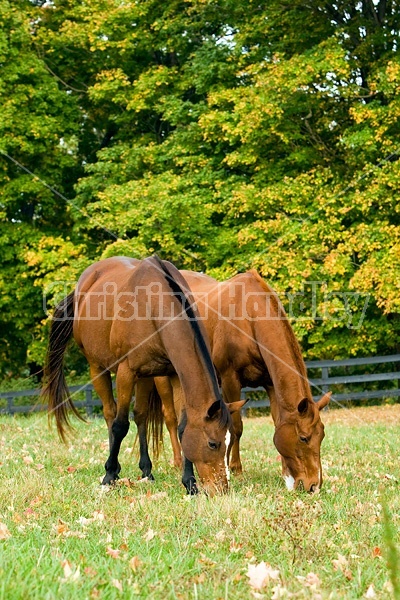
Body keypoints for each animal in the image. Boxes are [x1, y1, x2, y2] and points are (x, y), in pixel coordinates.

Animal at [41, 255, 241, 494]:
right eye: (213, 443)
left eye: (228, 441)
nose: (222, 488)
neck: (153, 306)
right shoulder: (126, 372)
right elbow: (120, 425)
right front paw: (109, 475)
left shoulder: (173, 375)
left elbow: (182, 428)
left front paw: (190, 483)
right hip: (97, 368)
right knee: (110, 414)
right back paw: (114, 468)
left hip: (145, 376)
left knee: (140, 416)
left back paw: (147, 470)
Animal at [148, 270, 332, 492]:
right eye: (303, 438)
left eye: (321, 436)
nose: (314, 485)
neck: (248, 317)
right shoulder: (230, 380)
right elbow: (236, 427)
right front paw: (234, 469)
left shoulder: (271, 384)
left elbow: (277, 422)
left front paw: (284, 472)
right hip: (163, 379)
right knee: (170, 418)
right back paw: (177, 461)